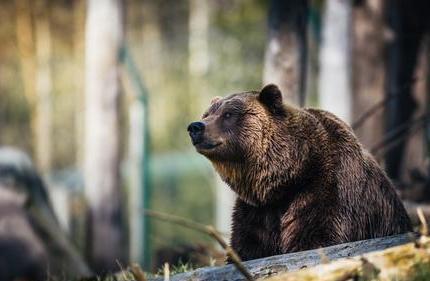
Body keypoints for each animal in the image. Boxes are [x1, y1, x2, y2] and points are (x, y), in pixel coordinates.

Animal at [186, 83, 412, 260]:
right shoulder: (257, 211)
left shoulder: (326, 189)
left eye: (229, 114)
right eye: (207, 114)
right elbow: (247, 246)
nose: (195, 127)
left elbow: (316, 237)